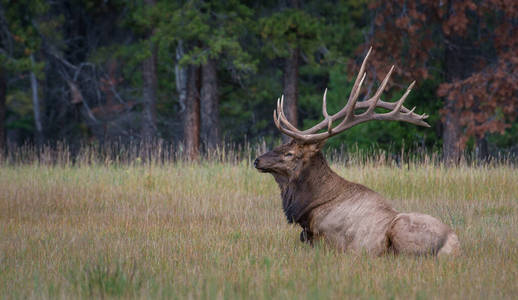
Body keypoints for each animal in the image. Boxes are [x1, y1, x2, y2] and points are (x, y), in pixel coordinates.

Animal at [254, 48, 462, 256]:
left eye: (289, 153)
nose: (257, 160)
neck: (309, 205)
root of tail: (452, 242)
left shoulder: (326, 237)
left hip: (400, 228)